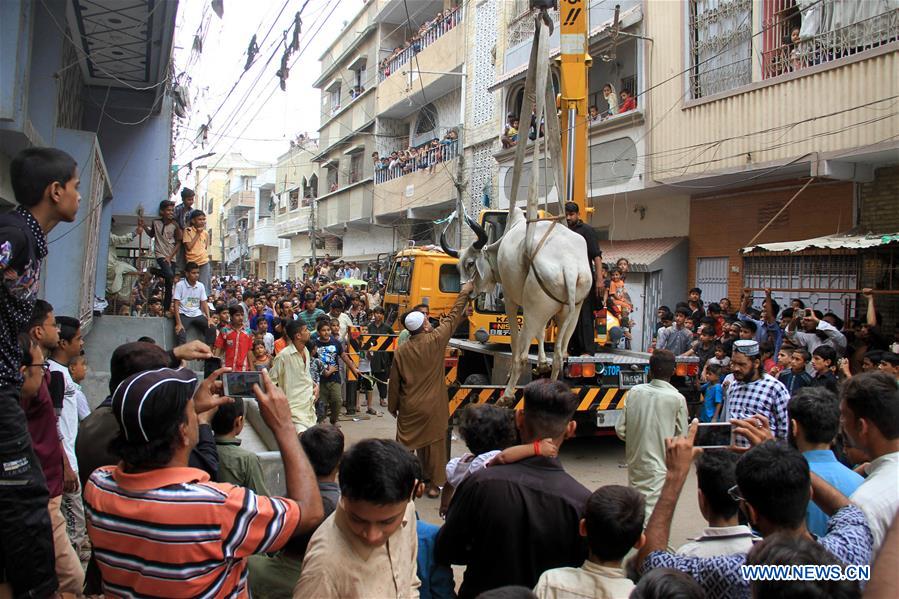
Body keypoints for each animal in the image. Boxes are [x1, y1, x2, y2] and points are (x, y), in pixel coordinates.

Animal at [442, 207, 596, 404]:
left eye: (470, 263)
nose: (467, 292)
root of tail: (569, 268)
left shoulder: (511, 300)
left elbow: (516, 341)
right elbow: (540, 334)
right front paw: (542, 363)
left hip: (534, 308)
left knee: (522, 357)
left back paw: (507, 396)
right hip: (570, 312)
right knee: (559, 357)